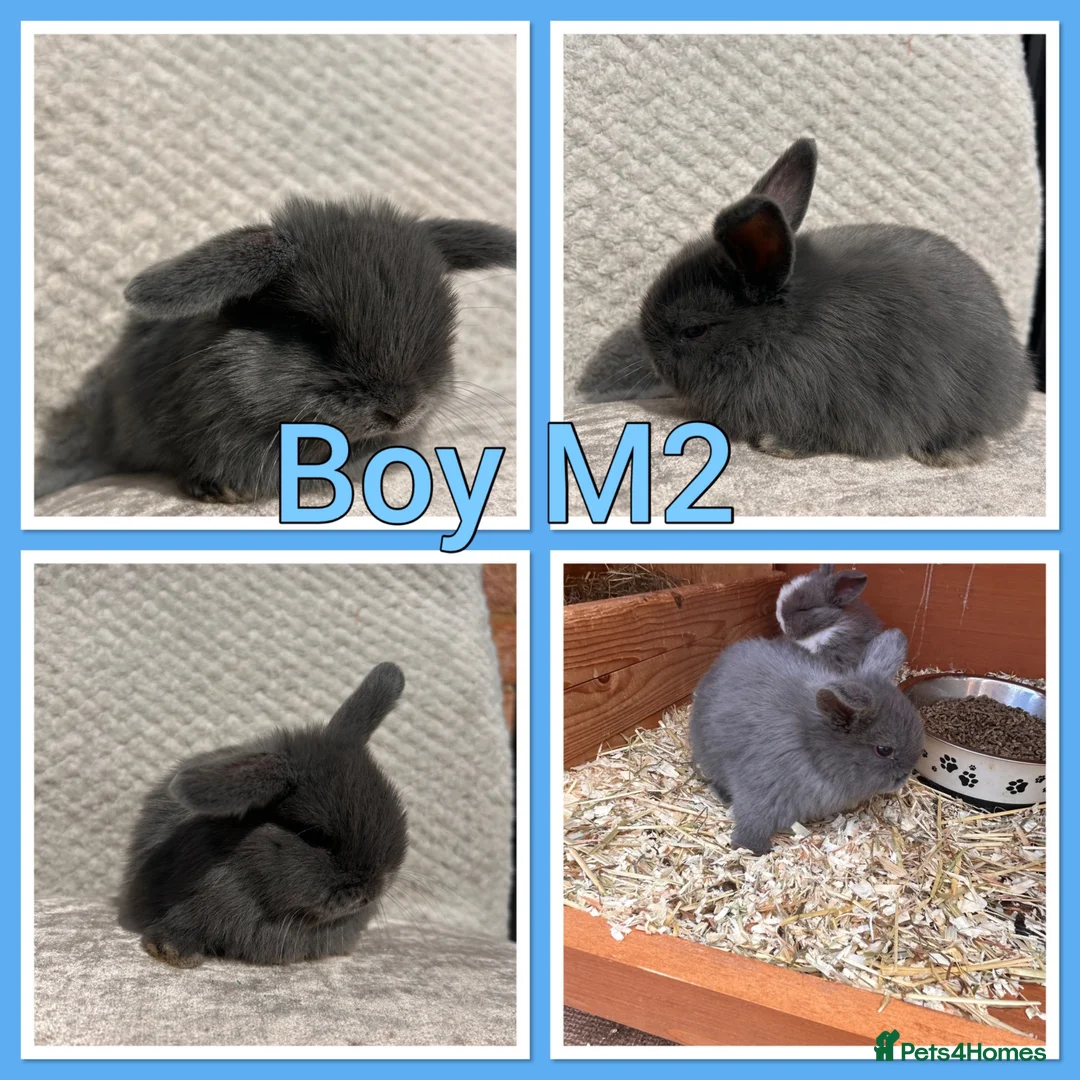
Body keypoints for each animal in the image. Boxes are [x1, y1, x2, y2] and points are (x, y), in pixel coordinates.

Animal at [689, 629, 924, 855]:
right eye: (884, 750)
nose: (904, 777)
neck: (811, 747)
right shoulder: (764, 787)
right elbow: (754, 818)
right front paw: (751, 847)